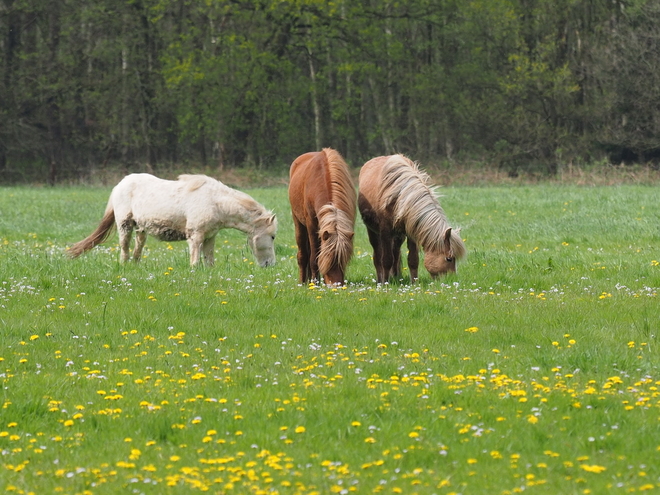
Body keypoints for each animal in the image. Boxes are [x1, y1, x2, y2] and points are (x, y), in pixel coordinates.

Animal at [64, 173, 276, 268]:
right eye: (273, 236)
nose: (270, 264)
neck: (216, 202)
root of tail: (120, 185)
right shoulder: (195, 236)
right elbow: (195, 261)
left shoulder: (210, 236)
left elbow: (209, 260)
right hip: (125, 225)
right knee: (124, 250)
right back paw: (124, 266)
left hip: (141, 229)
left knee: (137, 249)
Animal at [288, 149, 356, 284]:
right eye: (329, 260)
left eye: (343, 260)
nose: (336, 285)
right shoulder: (312, 226)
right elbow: (314, 257)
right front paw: (315, 283)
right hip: (298, 223)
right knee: (303, 255)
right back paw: (303, 282)